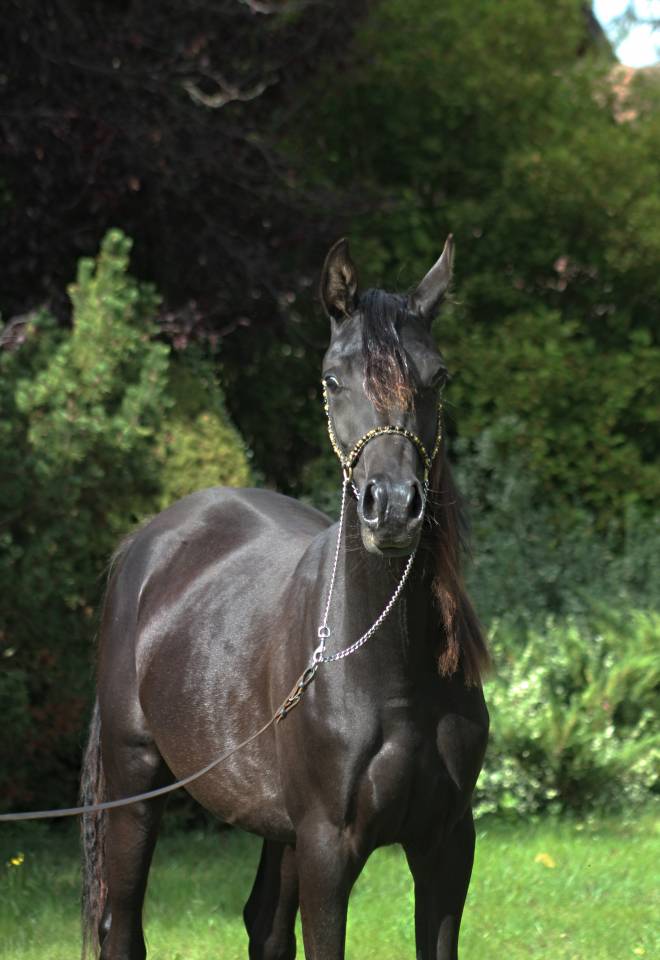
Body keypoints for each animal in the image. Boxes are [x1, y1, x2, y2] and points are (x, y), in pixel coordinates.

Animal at [79, 235, 490, 960]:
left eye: (438, 377)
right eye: (332, 379)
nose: (393, 509)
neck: (390, 670)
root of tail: (145, 544)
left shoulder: (446, 848)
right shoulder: (330, 847)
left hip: (277, 827)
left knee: (263, 927)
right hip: (133, 784)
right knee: (120, 924)